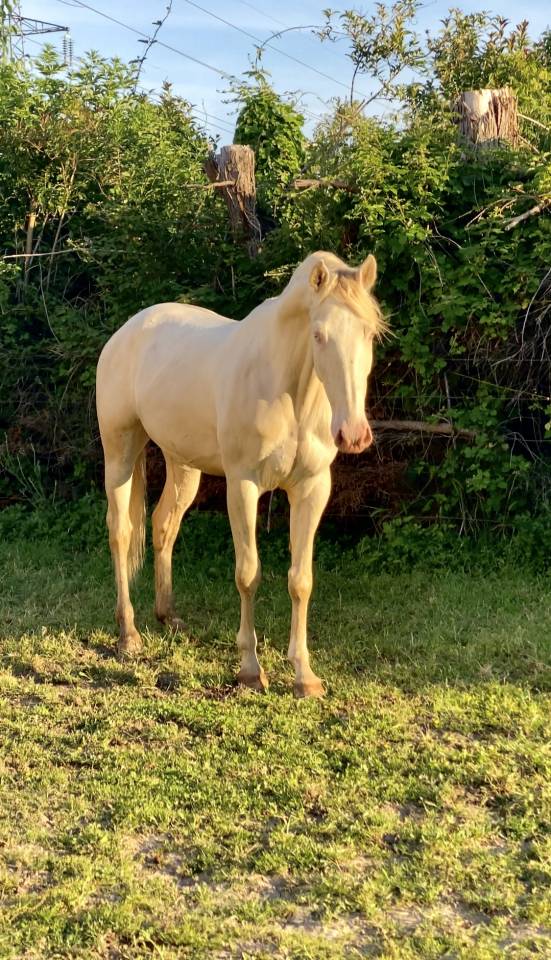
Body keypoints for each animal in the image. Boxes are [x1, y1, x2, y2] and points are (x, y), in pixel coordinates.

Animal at [96, 251, 386, 697]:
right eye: (318, 335)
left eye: (369, 333)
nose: (353, 434)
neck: (288, 393)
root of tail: (126, 331)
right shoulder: (243, 486)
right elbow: (248, 574)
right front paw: (250, 670)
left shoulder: (312, 489)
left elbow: (301, 580)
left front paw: (305, 676)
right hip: (120, 453)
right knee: (121, 533)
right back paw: (128, 635)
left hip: (183, 464)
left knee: (163, 526)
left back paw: (168, 616)